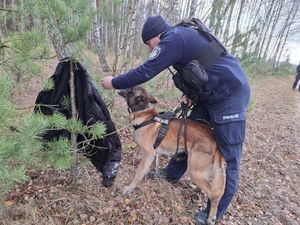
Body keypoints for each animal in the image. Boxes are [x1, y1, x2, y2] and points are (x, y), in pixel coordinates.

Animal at [117, 86, 225, 225]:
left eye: (130, 90)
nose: (119, 88)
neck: (144, 115)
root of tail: (215, 142)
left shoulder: (148, 154)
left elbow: (139, 173)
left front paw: (130, 188)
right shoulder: (154, 154)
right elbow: (152, 167)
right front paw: (153, 176)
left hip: (194, 171)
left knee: (214, 195)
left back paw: (211, 217)